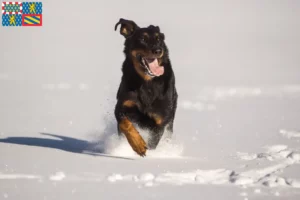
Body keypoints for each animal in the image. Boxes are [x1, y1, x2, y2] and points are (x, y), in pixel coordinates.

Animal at [113, 18, 177, 156]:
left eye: (159, 39)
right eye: (143, 39)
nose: (158, 50)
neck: (147, 82)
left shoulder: (160, 122)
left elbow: (153, 143)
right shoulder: (121, 106)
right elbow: (125, 124)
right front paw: (138, 145)